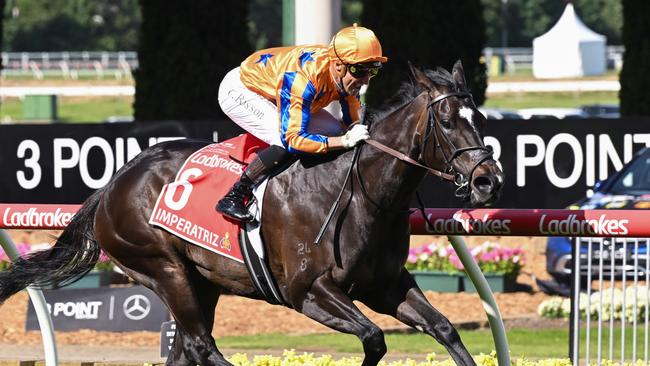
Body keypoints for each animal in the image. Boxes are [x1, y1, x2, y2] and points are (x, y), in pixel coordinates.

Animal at [0, 60, 502, 366]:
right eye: (447, 121)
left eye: (479, 117)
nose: (488, 180)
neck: (361, 193)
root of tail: (113, 183)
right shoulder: (307, 291)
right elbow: (375, 338)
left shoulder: (385, 284)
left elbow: (444, 328)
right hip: (162, 267)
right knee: (202, 346)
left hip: (201, 282)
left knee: (187, 348)